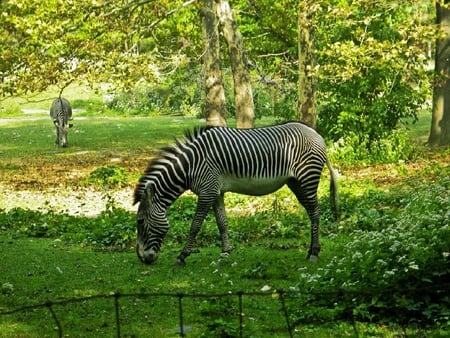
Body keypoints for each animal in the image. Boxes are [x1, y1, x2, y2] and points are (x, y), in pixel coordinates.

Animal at [134, 123, 338, 266]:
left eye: (141, 222)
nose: (143, 259)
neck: (190, 165)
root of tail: (317, 134)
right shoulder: (215, 192)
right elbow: (222, 223)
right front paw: (225, 253)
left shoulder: (207, 192)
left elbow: (195, 225)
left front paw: (182, 256)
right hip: (296, 183)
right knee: (312, 212)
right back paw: (311, 250)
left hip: (307, 179)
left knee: (315, 212)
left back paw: (314, 253)